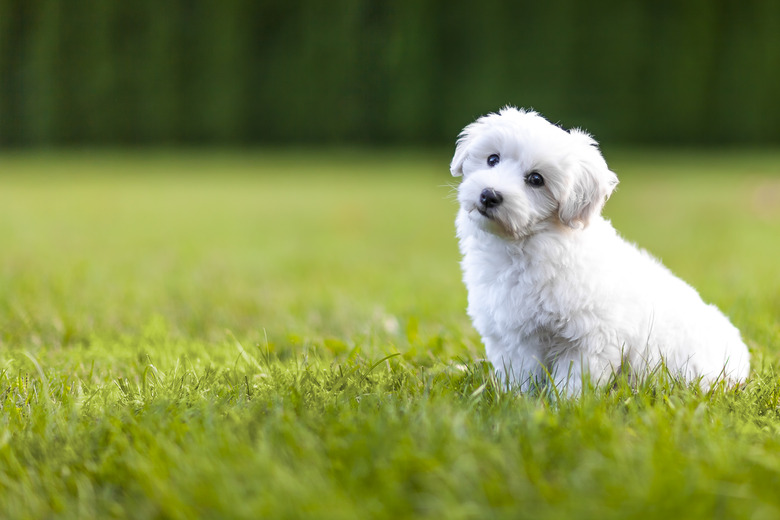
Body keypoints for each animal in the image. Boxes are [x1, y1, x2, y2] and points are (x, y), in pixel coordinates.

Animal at [450, 107, 748, 396]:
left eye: (536, 179)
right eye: (492, 159)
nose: (489, 195)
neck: (527, 244)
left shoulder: (589, 338)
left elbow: (572, 383)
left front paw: (564, 406)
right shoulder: (508, 338)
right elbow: (519, 375)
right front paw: (517, 401)